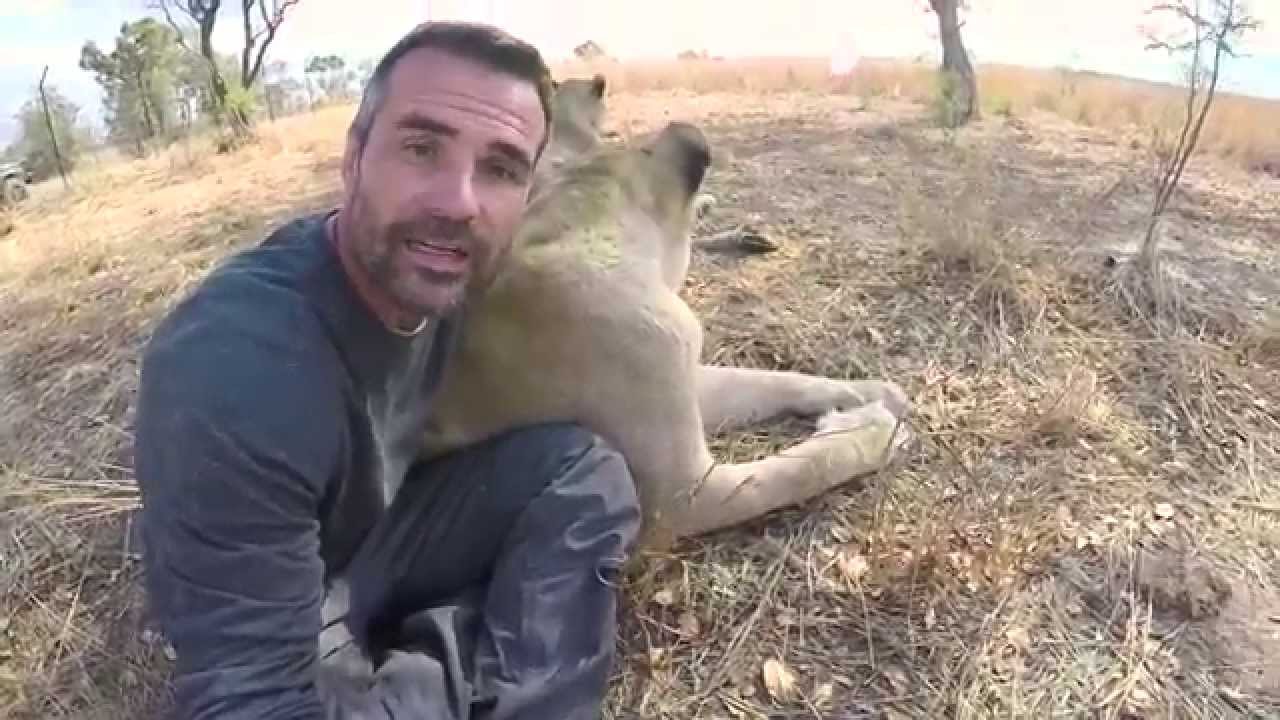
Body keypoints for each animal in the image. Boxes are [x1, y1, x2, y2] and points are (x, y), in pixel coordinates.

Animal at [420, 109, 911, 553]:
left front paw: (871, 393)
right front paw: (873, 429)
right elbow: (800, 468)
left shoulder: (679, 373)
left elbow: (773, 380)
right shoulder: (685, 493)